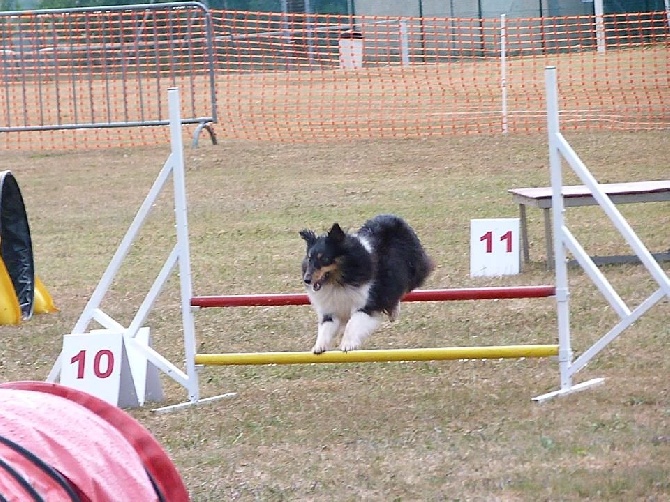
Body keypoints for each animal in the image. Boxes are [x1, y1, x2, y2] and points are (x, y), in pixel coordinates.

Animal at [300, 215, 436, 352]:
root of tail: (391, 216)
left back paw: (394, 312)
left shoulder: (366, 304)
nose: (307, 280)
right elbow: (325, 328)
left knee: (400, 290)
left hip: (412, 272)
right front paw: (319, 346)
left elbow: (353, 323)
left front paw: (347, 344)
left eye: (324, 259)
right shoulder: (331, 308)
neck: (341, 281)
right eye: (309, 258)